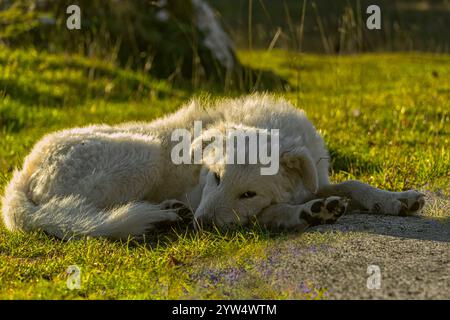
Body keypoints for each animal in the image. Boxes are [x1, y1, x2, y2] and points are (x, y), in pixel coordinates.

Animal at [1, 95, 426, 240]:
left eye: (247, 192)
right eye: (216, 177)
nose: (200, 225)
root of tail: (21, 176)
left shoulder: (314, 178)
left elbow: (354, 184)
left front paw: (396, 200)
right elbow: (272, 213)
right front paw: (309, 213)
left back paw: (167, 214)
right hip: (143, 153)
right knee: (92, 217)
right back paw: (159, 217)